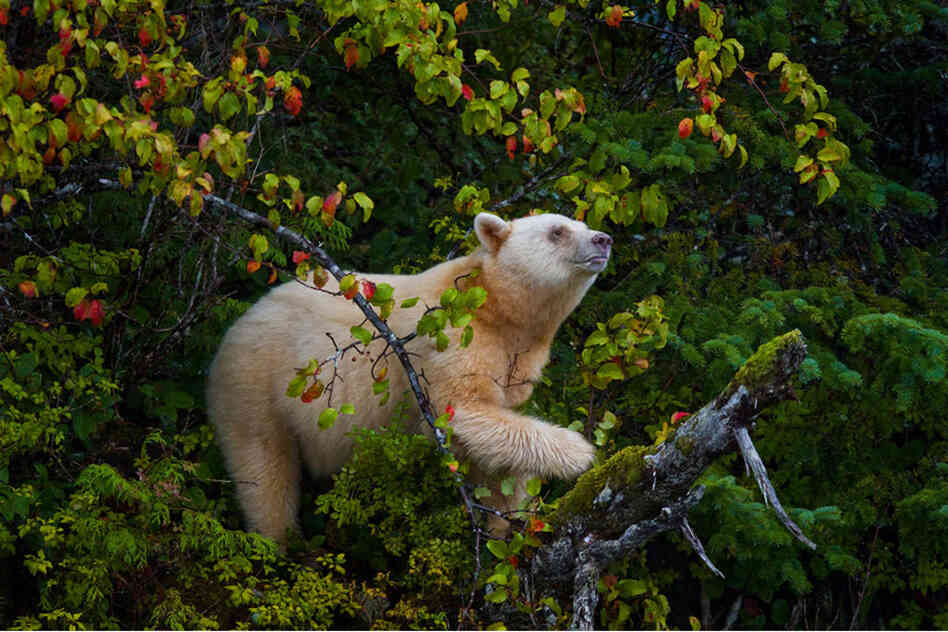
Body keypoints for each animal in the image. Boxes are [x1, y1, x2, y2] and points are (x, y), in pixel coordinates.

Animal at [206, 212, 613, 544]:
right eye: (557, 231)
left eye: (582, 224)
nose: (603, 239)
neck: (495, 307)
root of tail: (237, 325)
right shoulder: (451, 339)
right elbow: (463, 410)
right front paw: (580, 452)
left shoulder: (516, 362)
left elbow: (497, 450)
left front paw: (506, 523)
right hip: (256, 384)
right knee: (264, 470)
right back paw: (279, 541)